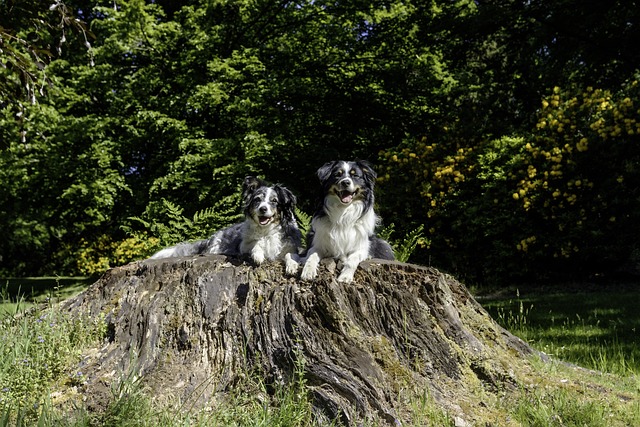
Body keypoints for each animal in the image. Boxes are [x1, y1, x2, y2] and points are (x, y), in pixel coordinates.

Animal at [151, 176, 302, 264]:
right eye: (257, 200)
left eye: (274, 201)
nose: (263, 209)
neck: (266, 230)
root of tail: (209, 239)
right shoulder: (243, 245)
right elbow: (255, 244)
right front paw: (258, 255)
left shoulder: (289, 247)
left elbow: (289, 254)